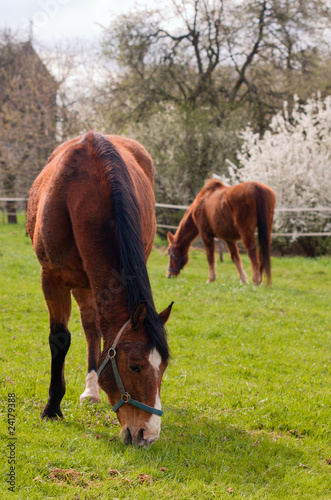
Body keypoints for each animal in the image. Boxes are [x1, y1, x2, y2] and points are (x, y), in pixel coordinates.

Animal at [27, 132, 174, 446]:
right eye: (134, 366)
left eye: (164, 368)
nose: (148, 435)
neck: (81, 192)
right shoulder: (52, 278)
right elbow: (59, 339)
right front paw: (52, 407)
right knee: (89, 327)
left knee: (93, 328)